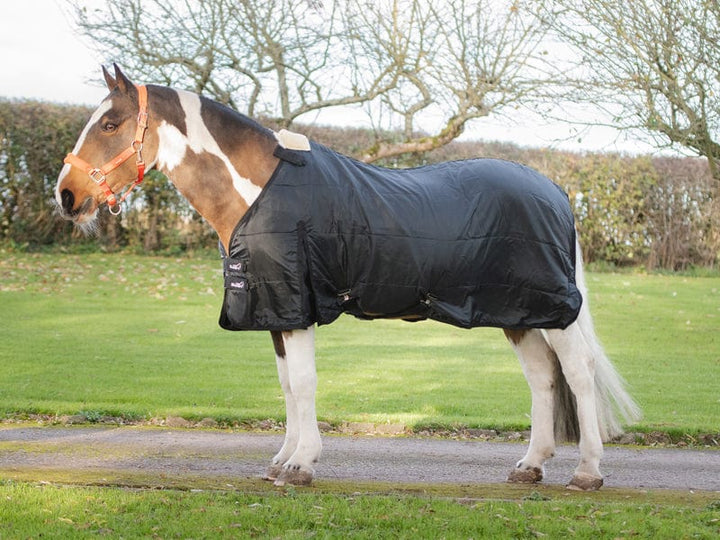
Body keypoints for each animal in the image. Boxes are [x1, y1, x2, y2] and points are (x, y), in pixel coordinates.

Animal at [55, 65, 640, 491]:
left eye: (110, 125)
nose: (66, 195)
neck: (261, 190)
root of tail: (556, 192)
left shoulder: (299, 307)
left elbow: (305, 383)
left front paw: (301, 465)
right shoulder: (276, 310)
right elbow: (287, 386)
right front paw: (280, 461)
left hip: (554, 313)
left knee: (578, 375)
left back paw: (587, 473)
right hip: (518, 313)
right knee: (542, 379)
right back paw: (530, 466)